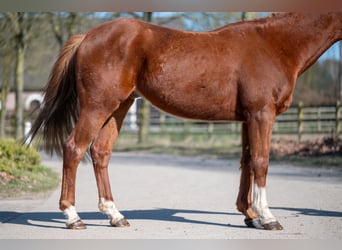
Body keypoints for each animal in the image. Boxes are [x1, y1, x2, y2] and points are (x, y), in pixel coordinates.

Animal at [27, 12, 342, 230]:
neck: (275, 43)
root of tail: (87, 36)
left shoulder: (248, 118)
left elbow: (247, 162)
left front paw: (249, 214)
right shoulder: (261, 114)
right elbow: (261, 161)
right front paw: (267, 217)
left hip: (118, 107)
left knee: (100, 153)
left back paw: (115, 215)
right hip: (97, 106)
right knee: (74, 148)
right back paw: (73, 216)